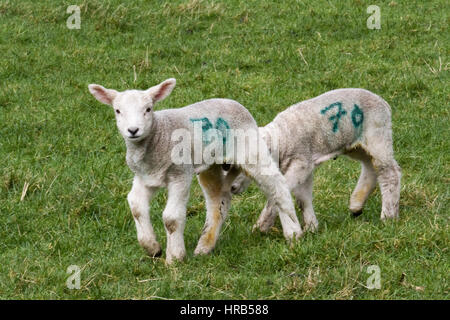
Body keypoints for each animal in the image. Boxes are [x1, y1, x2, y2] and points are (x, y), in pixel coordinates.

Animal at [88, 79, 302, 264]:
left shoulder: (180, 174)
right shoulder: (145, 177)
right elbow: (136, 206)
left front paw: (174, 258)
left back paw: (294, 234)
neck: (159, 137)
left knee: (277, 186)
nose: (133, 130)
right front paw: (152, 248)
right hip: (210, 165)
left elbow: (171, 218)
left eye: (148, 109)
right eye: (117, 111)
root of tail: (234, 102)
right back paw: (204, 246)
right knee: (218, 201)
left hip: (251, 149)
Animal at [230, 88, 402, 232]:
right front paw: (311, 227)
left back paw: (388, 215)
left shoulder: (301, 163)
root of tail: (383, 102)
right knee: (370, 167)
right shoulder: (305, 167)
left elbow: (281, 193)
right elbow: (303, 198)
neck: (282, 138)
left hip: (377, 135)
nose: (231, 188)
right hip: (356, 145)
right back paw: (356, 205)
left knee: (389, 173)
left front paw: (262, 226)